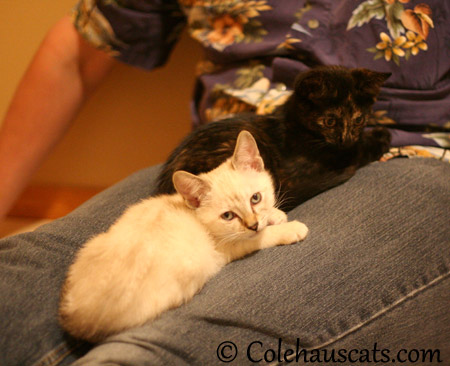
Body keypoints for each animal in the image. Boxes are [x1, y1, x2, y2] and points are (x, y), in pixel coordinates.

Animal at [58, 130, 308, 342]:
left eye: (255, 198)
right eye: (228, 216)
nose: (253, 225)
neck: (193, 213)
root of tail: (76, 316)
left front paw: (274, 215)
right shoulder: (230, 246)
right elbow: (261, 238)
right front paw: (289, 228)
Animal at [156, 66, 390, 212]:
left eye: (358, 119)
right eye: (330, 121)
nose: (346, 139)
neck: (298, 127)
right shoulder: (299, 174)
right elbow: (357, 153)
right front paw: (381, 136)